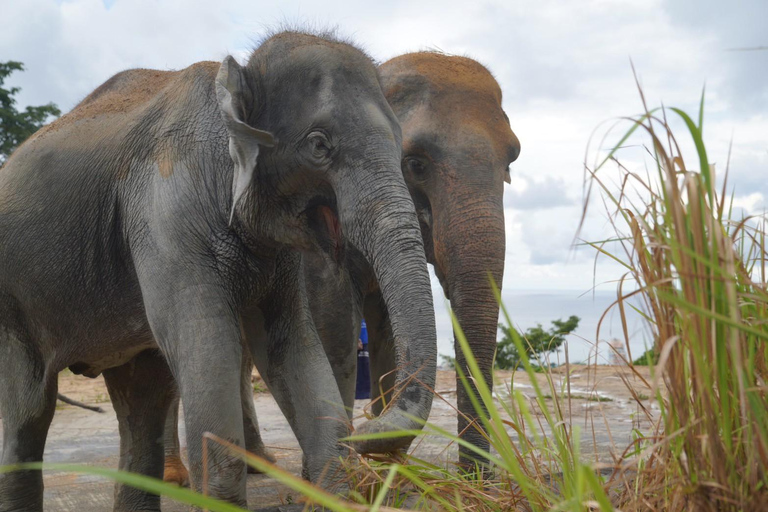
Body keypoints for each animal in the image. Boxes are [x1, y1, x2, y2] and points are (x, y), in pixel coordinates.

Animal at [0, 30, 437, 512]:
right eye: (320, 145)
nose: (369, 425)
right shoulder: (166, 212)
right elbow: (209, 345)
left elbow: (292, 346)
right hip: (13, 300)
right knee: (29, 410)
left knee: (143, 399)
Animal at [163, 51, 520, 484]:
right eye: (415, 163)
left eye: (511, 162)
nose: (476, 480)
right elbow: (332, 324)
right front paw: (342, 471)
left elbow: (385, 331)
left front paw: (389, 473)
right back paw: (175, 475)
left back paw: (260, 463)